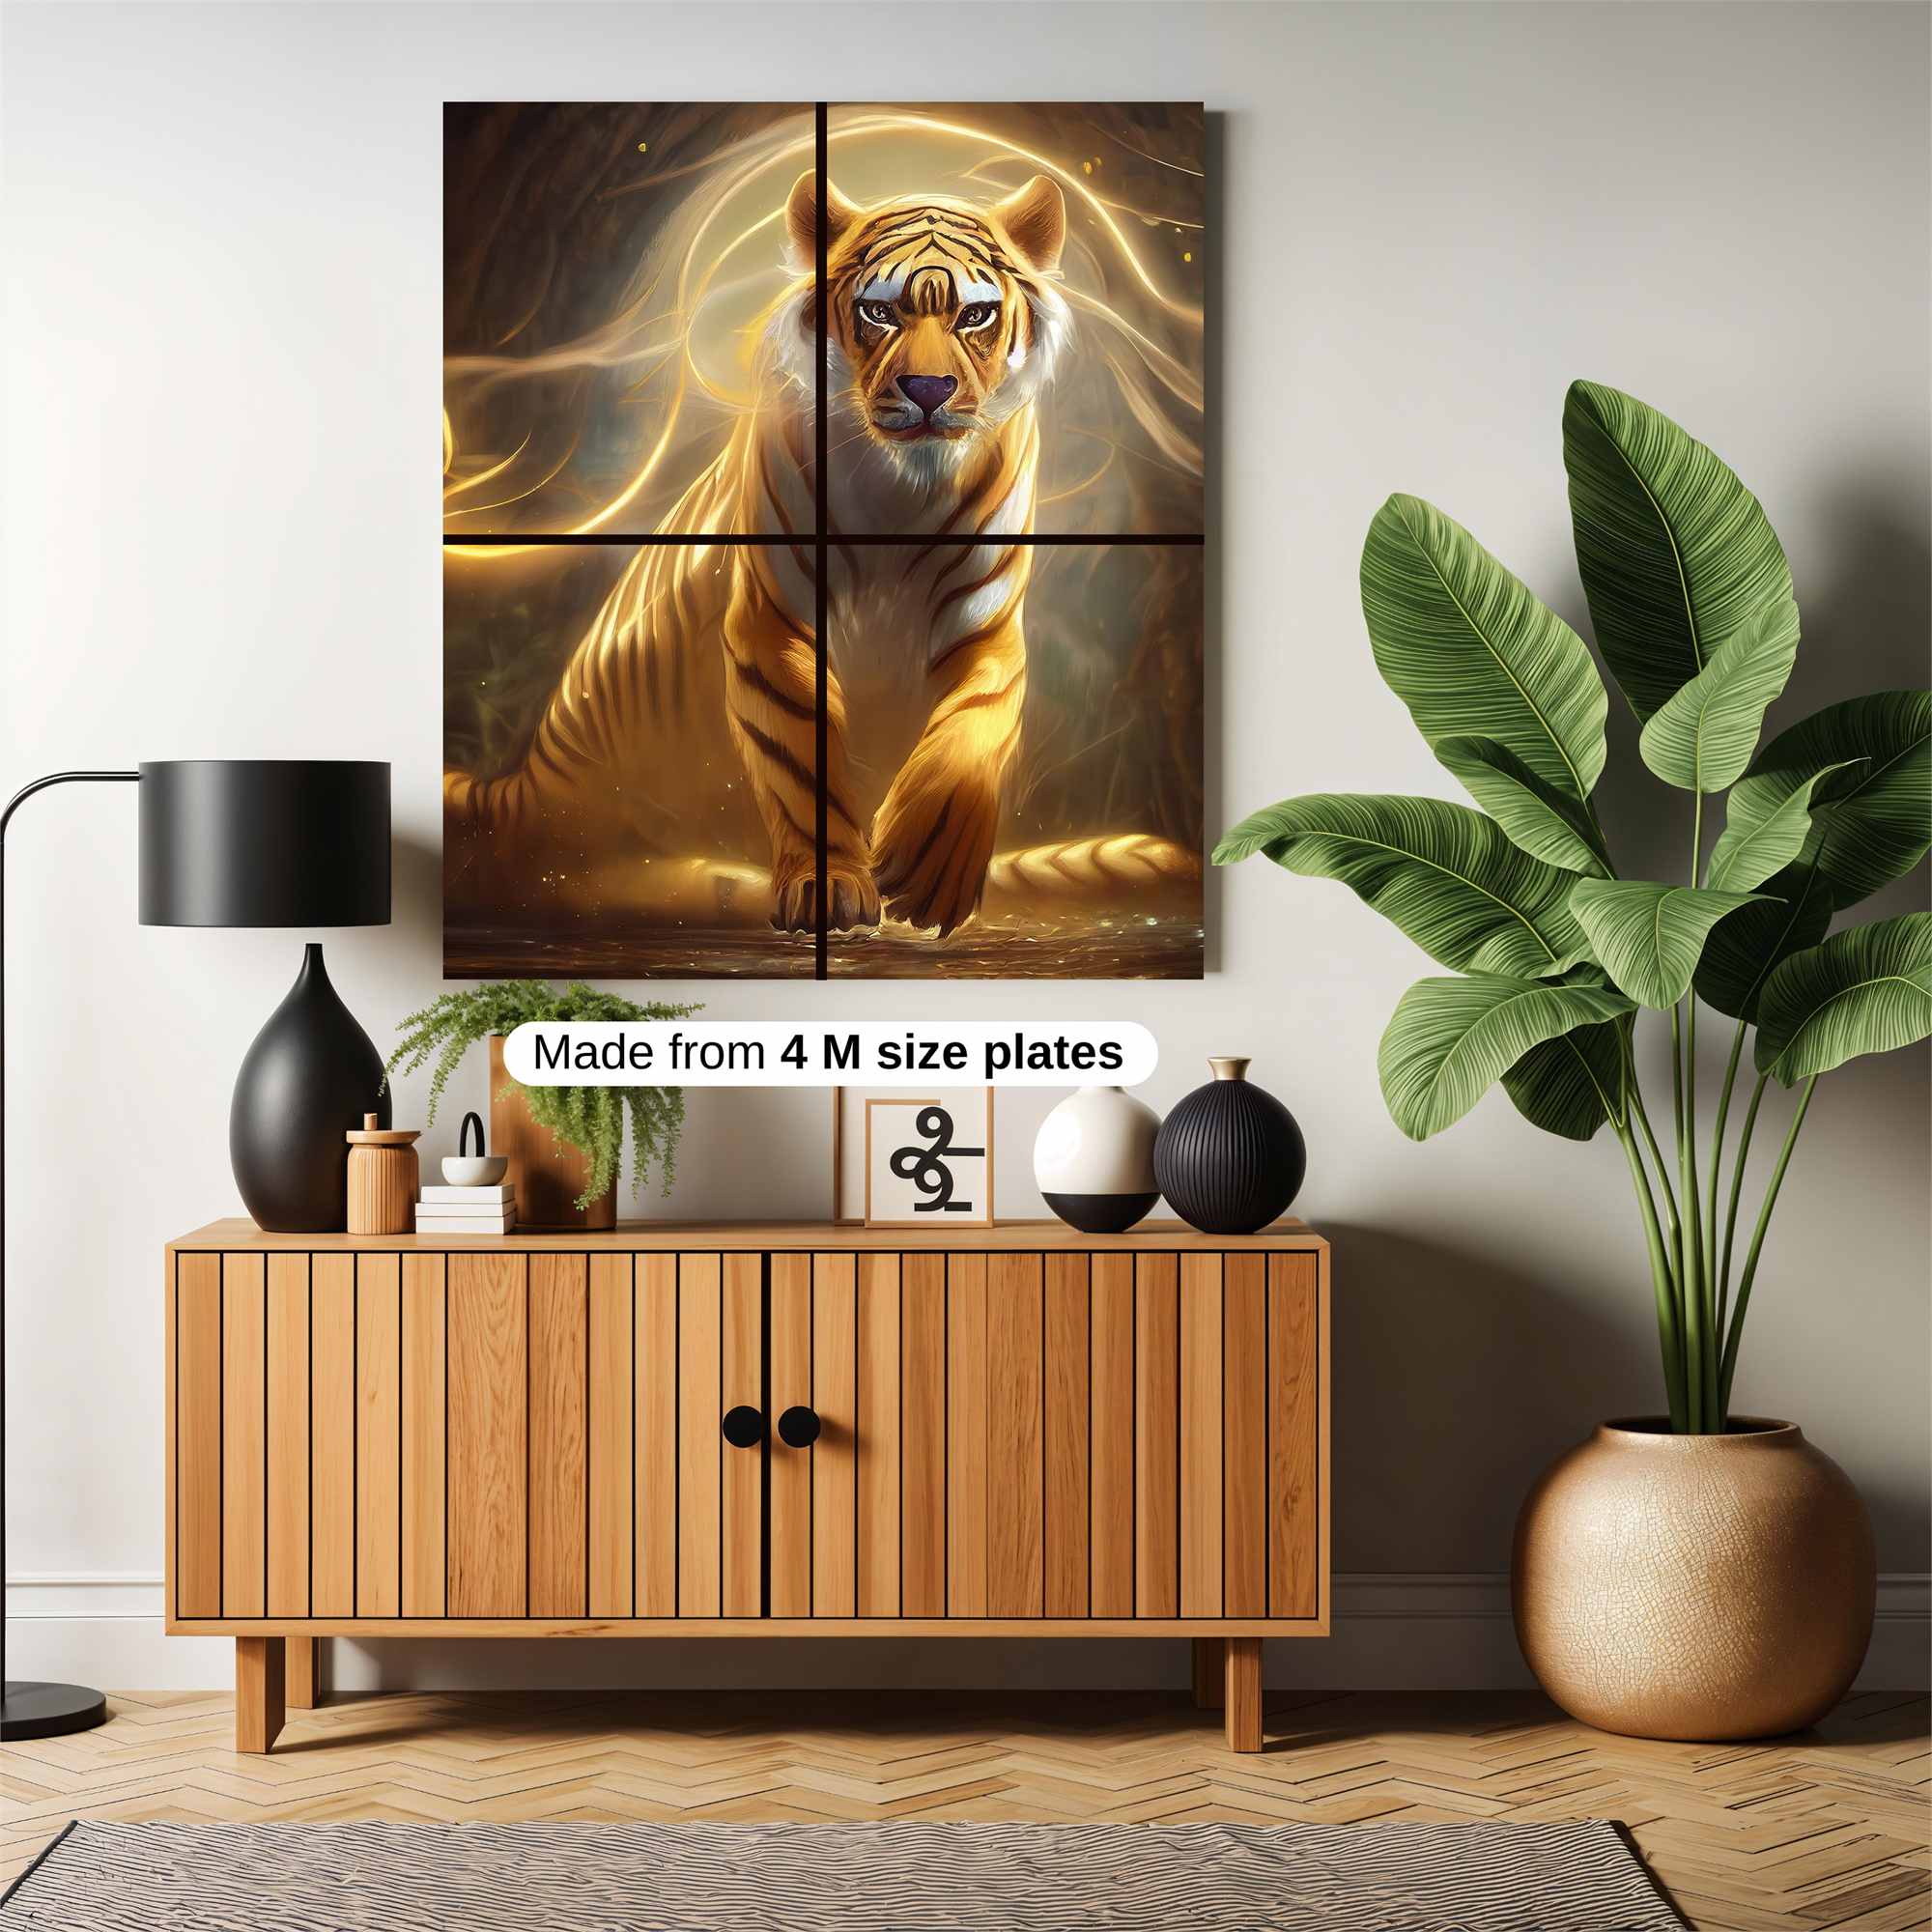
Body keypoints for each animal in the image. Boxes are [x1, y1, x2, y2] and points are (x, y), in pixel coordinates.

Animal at [445, 169, 1199, 938]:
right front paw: (831, 884)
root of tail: (523, 787)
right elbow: (801, 755)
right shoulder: (775, 622)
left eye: (975, 316)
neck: (904, 492)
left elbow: (972, 731)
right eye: (880, 311)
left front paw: (932, 869)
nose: (929, 391)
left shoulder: (986, 629)